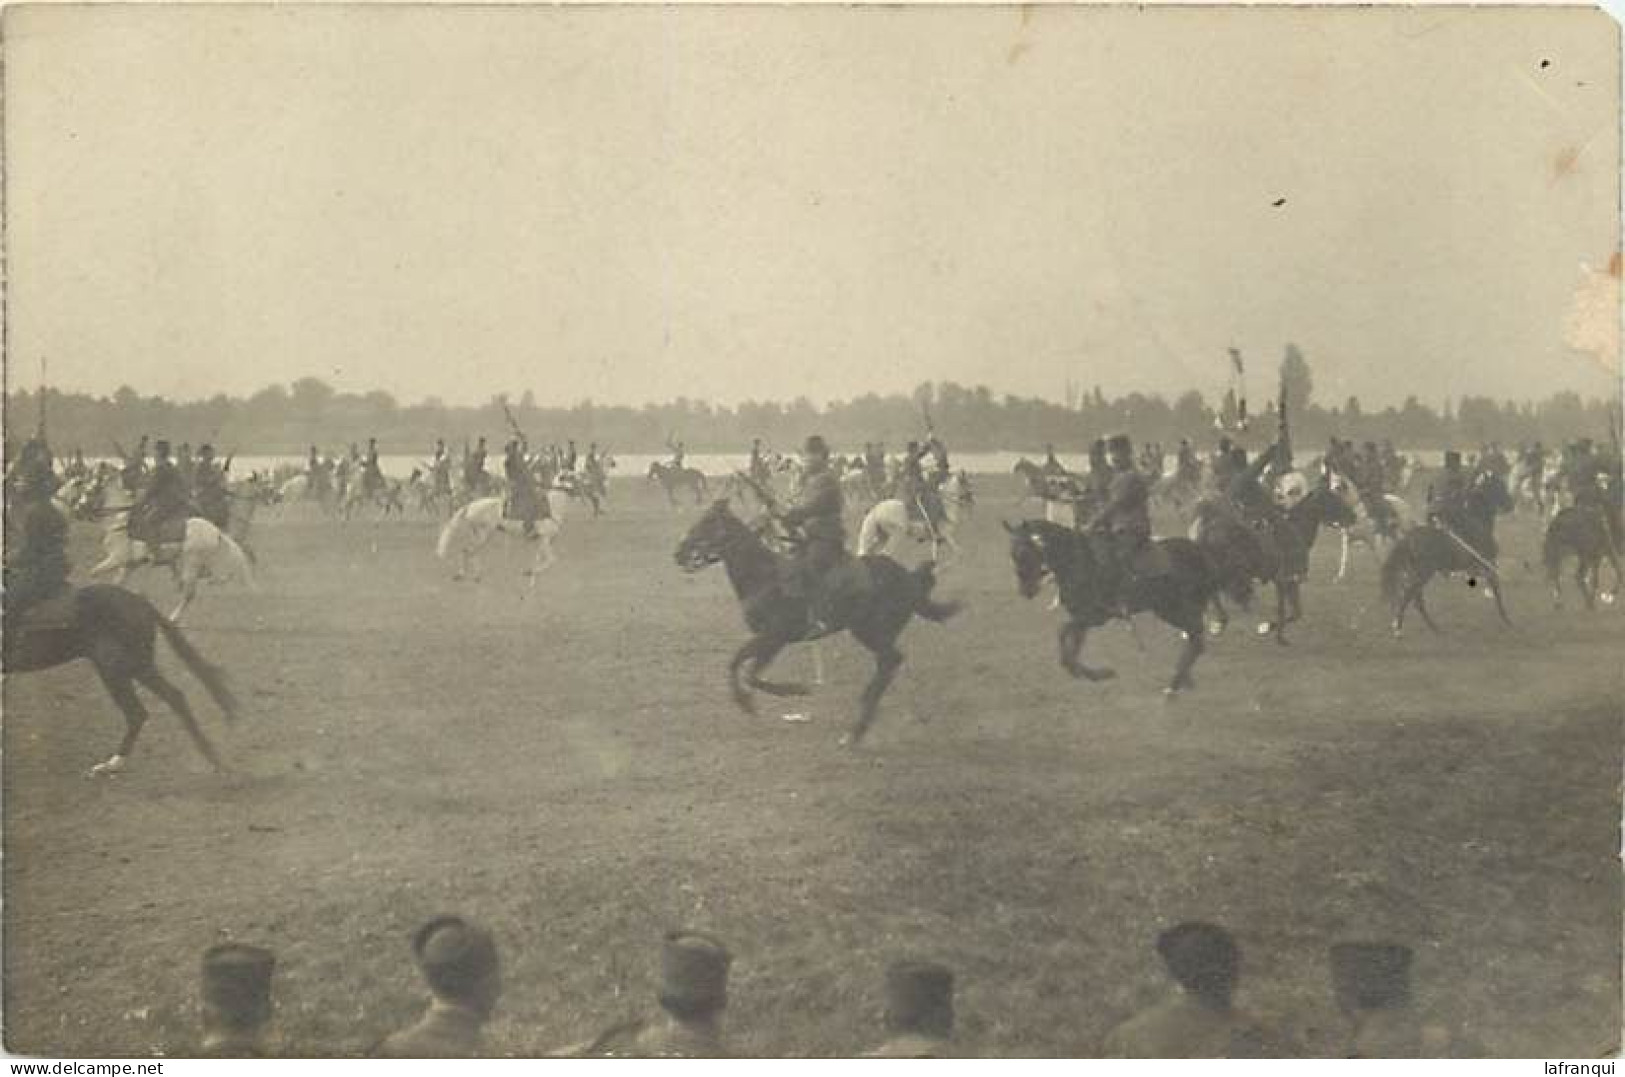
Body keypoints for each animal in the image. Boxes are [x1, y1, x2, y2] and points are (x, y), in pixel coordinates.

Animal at [1, 584, 240, 779]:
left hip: (116, 668)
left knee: (138, 712)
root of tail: (139, 601)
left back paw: (111, 764)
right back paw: (213, 759)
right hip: (136, 666)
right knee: (173, 697)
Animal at [438, 490, 572, 591]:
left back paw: (476, 576)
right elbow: (551, 560)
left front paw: (531, 579)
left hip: (478, 534)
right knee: (467, 551)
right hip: (483, 534)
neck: (551, 508)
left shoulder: (544, 541)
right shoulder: (545, 540)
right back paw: (462, 574)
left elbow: (539, 560)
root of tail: (470, 505)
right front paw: (529, 574)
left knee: (471, 552)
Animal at [676, 500, 955, 747]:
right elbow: (737, 665)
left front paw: (795, 690)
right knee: (889, 664)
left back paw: (856, 729)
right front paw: (746, 702)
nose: (678, 553)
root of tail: (909, 578)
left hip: (869, 632)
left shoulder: (774, 638)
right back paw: (861, 723)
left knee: (891, 661)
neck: (763, 577)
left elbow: (750, 673)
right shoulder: (768, 640)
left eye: (707, 523)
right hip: (875, 633)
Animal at [994, 519, 1222, 692]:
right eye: (1012, 554)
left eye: (1026, 552)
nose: (1026, 590)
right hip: (1170, 609)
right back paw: (1182, 680)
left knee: (1196, 638)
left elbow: (1063, 633)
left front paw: (1098, 673)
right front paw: (1089, 673)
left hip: (1173, 609)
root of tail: (1199, 552)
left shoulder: (1091, 617)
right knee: (1195, 638)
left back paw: (1173, 686)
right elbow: (1071, 646)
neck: (1079, 561)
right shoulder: (1082, 619)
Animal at [1378, 471, 1514, 636]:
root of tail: (1409, 537)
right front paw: (1507, 620)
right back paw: (1400, 629)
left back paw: (1433, 628)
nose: (1510, 505)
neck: (1478, 521)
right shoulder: (1487, 564)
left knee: (1415, 598)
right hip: (1423, 573)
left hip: (1416, 573)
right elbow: (1497, 590)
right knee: (1411, 597)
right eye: (1499, 486)